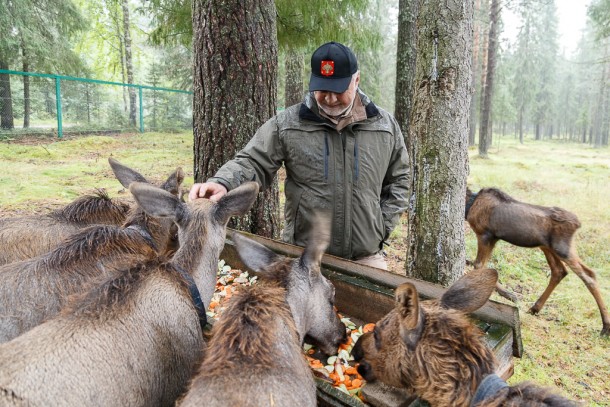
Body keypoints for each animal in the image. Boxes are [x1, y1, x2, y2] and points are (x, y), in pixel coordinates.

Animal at [464, 186, 604, 336]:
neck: (469, 206)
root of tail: (578, 224)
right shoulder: (494, 238)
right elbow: (486, 266)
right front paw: (509, 295)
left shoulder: (485, 234)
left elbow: (479, 265)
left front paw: (507, 295)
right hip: (549, 247)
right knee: (562, 271)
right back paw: (535, 308)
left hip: (562, 249)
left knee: (587, 276)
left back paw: (605, 327)